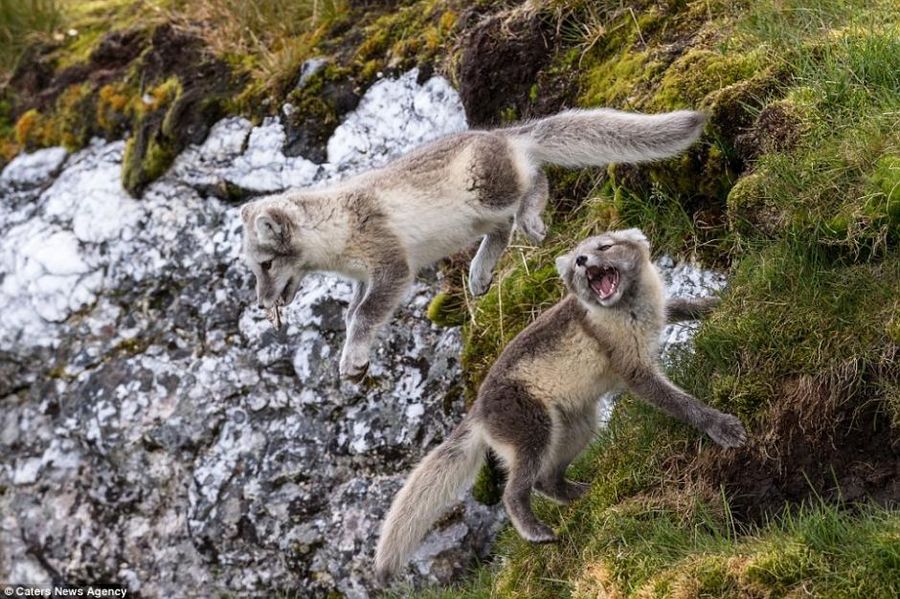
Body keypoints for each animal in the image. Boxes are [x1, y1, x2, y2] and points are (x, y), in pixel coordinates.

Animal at [243, 108, 708, 382]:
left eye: (265, 265)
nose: (262, 302)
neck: (336, 230)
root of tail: (503, 134)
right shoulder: (362, 278)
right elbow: (352, 314)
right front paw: (354, 358)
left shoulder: (391, 264)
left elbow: (364, 316)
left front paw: (352, 360)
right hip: (476, 217)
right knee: (501, 230)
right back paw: (480, 273)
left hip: (489, 192)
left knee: (535, 180)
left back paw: (530, 219)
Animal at [372, 229, 744, 580]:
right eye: (579, 259)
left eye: (604, 246)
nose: (581, 260)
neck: (632, 309)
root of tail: (477, 410)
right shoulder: (634, 371)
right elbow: (681, 404)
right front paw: (721, 426)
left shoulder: (662, 310)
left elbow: (684, 306)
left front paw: (719, 300)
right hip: (533, 429)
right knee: (514, 491)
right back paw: (537, 532)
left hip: (578, 426)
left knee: (545, 481)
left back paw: (585, 493)